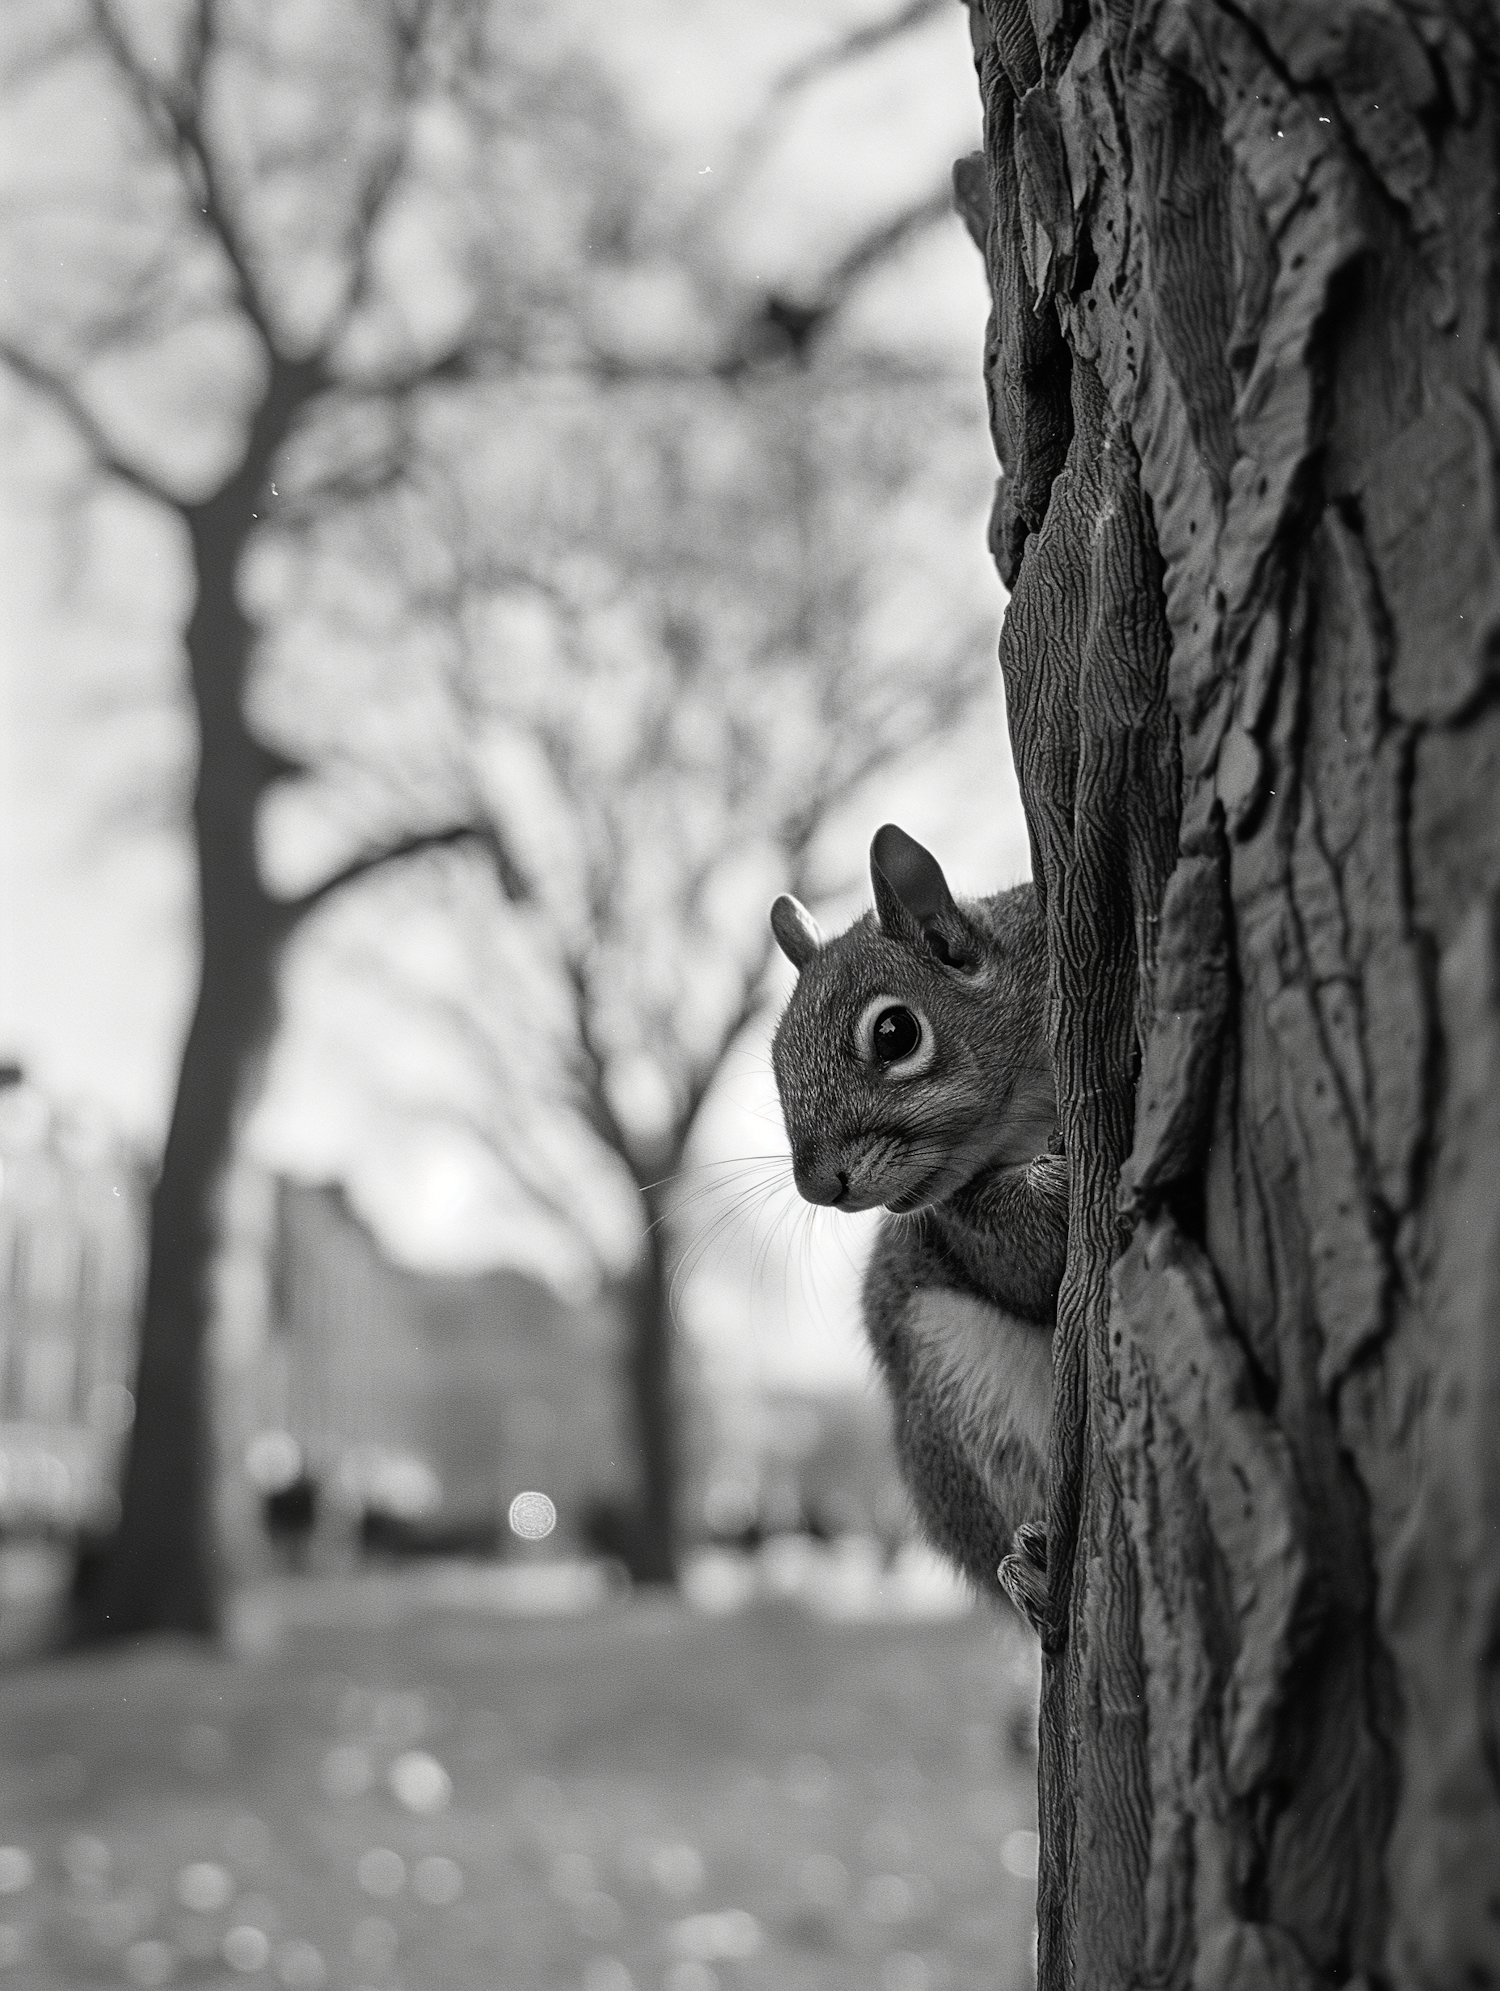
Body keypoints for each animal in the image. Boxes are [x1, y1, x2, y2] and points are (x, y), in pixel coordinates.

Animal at [772, 816, 1067, 1624]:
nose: (818, 1187)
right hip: (948, 1370)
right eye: (775, 1061)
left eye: (895, 1033)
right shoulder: (955, 1223)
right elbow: (1028, 1266)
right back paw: (1033, 1569)